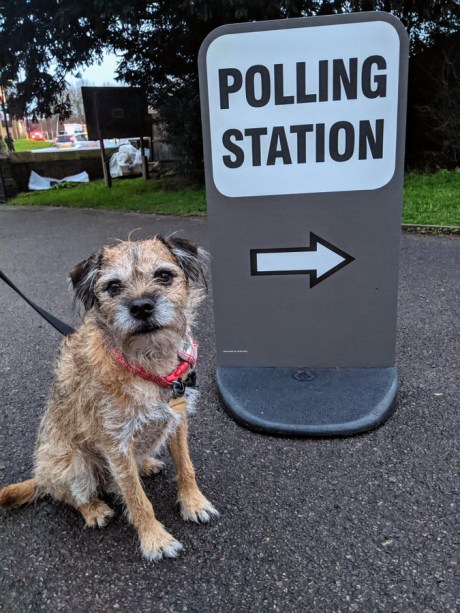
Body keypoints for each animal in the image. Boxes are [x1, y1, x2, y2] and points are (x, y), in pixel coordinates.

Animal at [0, 237, 219, 560]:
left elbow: (186, 467)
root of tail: (41, 477)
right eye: (114, 287)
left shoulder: (177, 420)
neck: (147, 363)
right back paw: (94, 510)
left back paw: (146, 464)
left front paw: (194, 502)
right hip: (72, 463)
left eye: (164, 276)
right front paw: (155, 539)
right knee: (73, 495)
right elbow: (137, 498)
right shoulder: (117, 446)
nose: (141, 307)